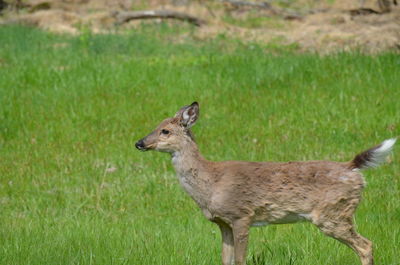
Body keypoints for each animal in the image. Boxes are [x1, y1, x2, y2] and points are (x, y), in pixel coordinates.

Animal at [136, 101, 396, 264]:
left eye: (165, 131)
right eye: (155, 127)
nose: (139, 143)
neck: (211, 184)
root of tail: (351, 167)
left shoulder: (242, 215)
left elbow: (240, 260)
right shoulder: (223, 223)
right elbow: (225, 260)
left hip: (333, 213)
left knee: (366, 245)